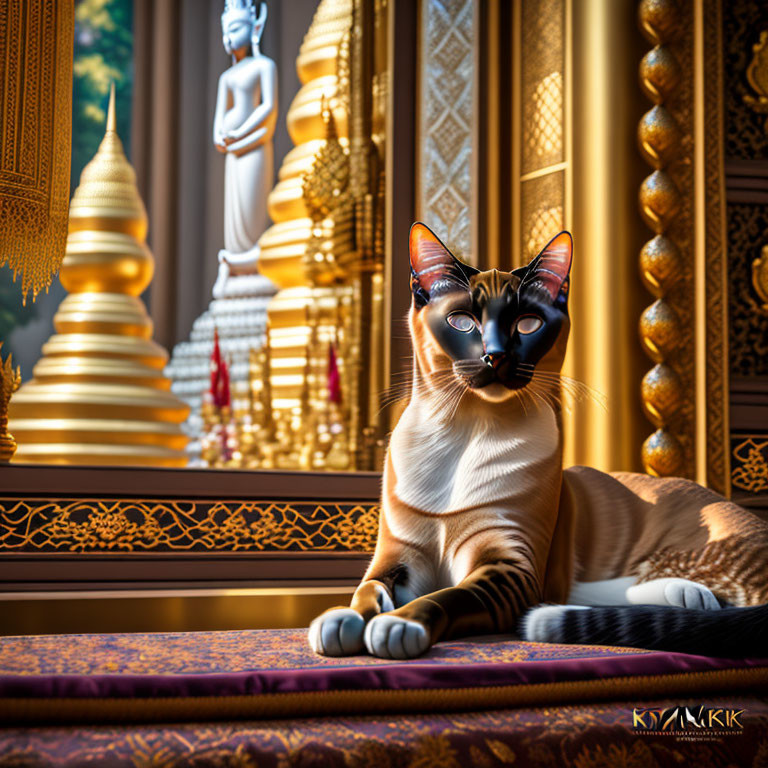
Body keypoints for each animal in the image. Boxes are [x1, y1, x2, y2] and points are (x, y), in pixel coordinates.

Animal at [308, 222, 768, 660]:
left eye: (527, 324)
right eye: (462, 322)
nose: (495, 355)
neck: (465, 433)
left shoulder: (510, 565)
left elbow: (446, 597)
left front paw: (399, 625)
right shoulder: (398, 558)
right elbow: (368, 590)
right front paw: (340, 622)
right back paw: (686, 596)